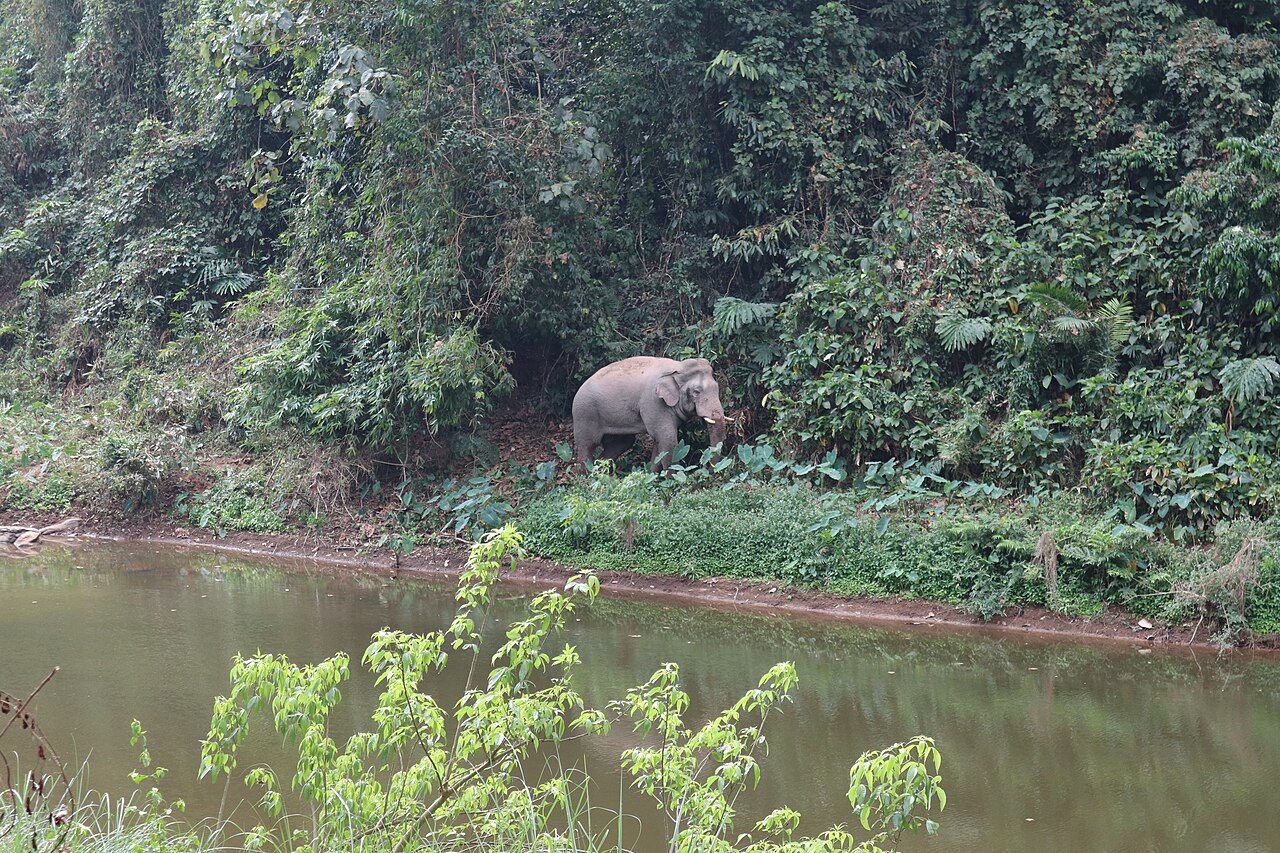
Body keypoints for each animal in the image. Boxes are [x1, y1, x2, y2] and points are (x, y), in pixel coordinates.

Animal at [572, 356, 728, 472]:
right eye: (696, 391)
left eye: (717, 387)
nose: (705, 467)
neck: (677, 367)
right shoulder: (654, 402)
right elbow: (667, 439)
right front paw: (673, 481)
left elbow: (659, 442)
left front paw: (652, 476)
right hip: (584, 414)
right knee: (587, 445)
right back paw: (585, 478)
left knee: (621, 443)